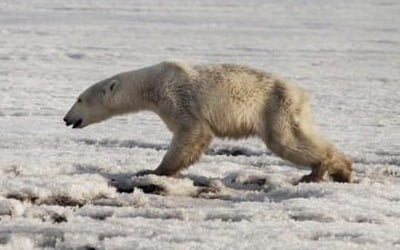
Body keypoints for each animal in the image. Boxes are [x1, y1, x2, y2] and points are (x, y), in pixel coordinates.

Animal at [63, 60, 354, 182]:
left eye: (79, 99)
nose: (66, 119)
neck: (152, 84)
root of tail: (300, 93)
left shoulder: (177, 97)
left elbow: (191, 132)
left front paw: (151, 171)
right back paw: (339, 169)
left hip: (275, 107)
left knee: (287, 141)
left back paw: (322, 171)